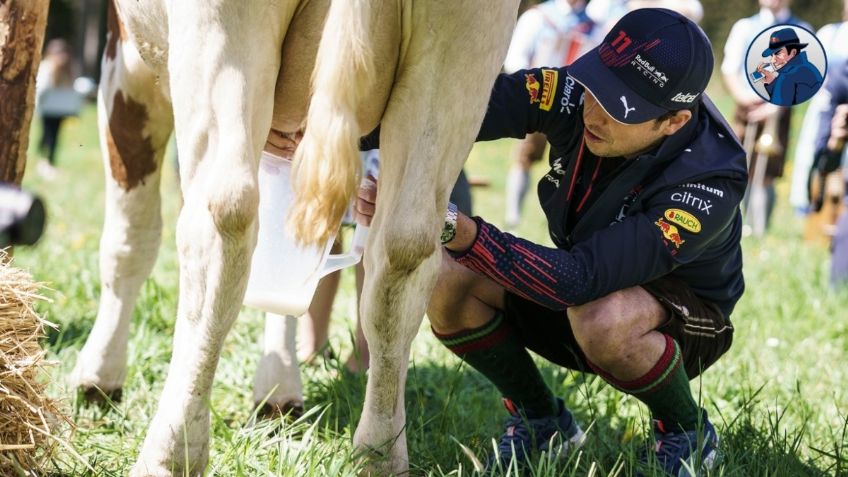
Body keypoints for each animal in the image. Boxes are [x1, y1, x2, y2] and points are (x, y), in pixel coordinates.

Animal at [70, 0, 519, 475]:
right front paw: (278, 387)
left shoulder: (126, 60)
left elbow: (129, 238)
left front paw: (98, 376)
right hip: (458, 53)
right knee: (402, 251)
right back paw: (378, 454)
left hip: (221, 34)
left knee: (224, 219)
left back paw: (171, 452)